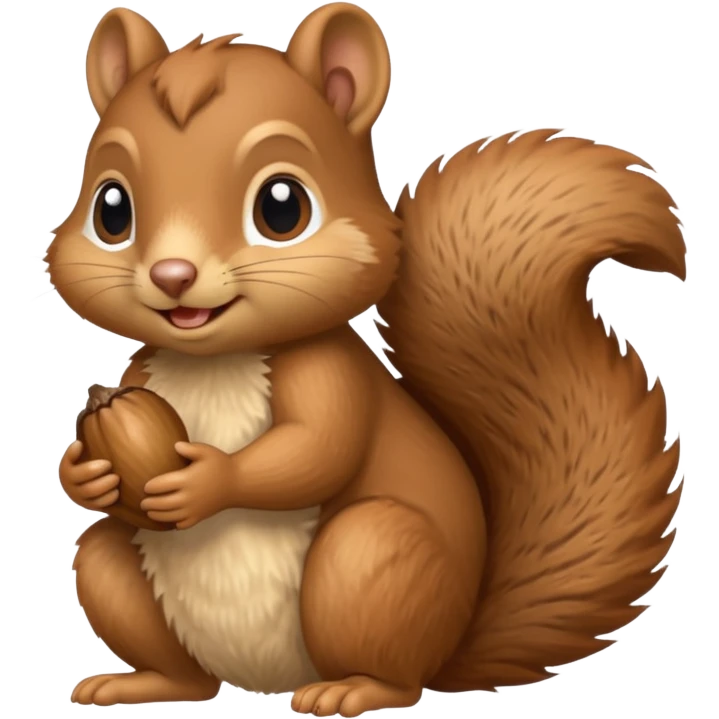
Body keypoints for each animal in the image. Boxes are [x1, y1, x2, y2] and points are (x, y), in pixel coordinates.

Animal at [52, 3, 687, 715]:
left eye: (282, 207)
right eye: (110, 209)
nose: (172, 275)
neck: (214, 358)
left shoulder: (330, 372)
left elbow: (317, 448)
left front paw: (208, 480)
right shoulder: (145, 370)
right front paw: (84, 473)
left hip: (369, 561)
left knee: (397, 673)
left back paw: (353, 689)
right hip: (122, 578)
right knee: (147, 618)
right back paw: (143, 682)